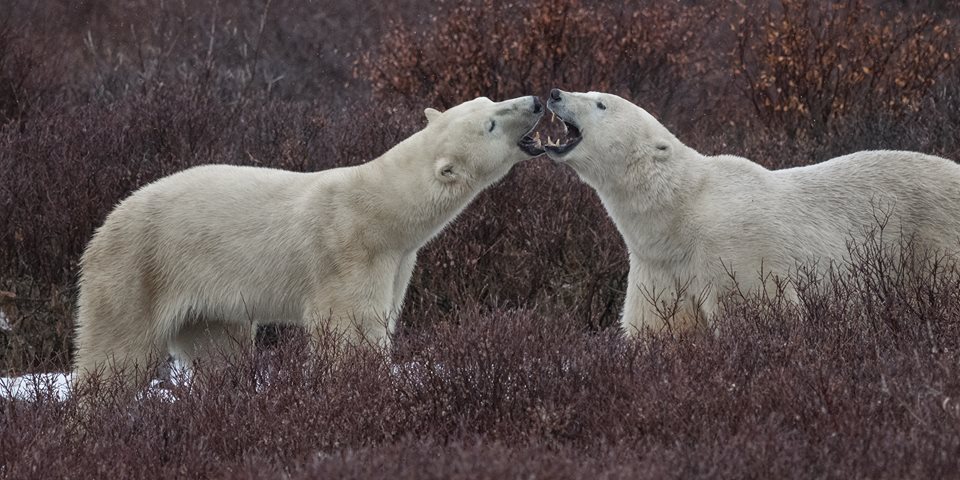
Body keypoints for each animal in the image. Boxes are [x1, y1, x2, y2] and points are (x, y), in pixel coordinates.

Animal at [73, 95, 546, 392]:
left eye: (488, 99)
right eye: (489, 123)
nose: (536, 102)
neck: (381, 209)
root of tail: (106, 224)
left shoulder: (399, 264)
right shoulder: (349, 252)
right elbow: (350, 333)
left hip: (206, 300)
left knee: (220, 355)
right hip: (136, 270)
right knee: (115, 357)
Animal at [543, 88, 960, 334]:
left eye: (600, 103)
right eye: (588, 91)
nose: (555, 93)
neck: (681, 212)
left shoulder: (734, 250)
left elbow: (757, 313)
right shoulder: (658, 266)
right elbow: (661, 329)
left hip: (933, 239)